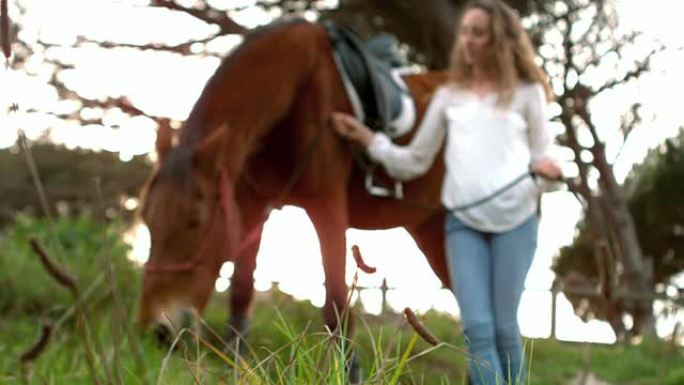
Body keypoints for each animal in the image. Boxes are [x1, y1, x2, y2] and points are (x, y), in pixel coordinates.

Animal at [138, 18, 448, 364]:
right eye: (147, 222)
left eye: (194, 221)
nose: (158, 332)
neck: (300, 83)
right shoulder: (251, 205)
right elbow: (241, 292)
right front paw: (236, 363)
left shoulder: (327, 207)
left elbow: (337, 311)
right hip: (432, 229)